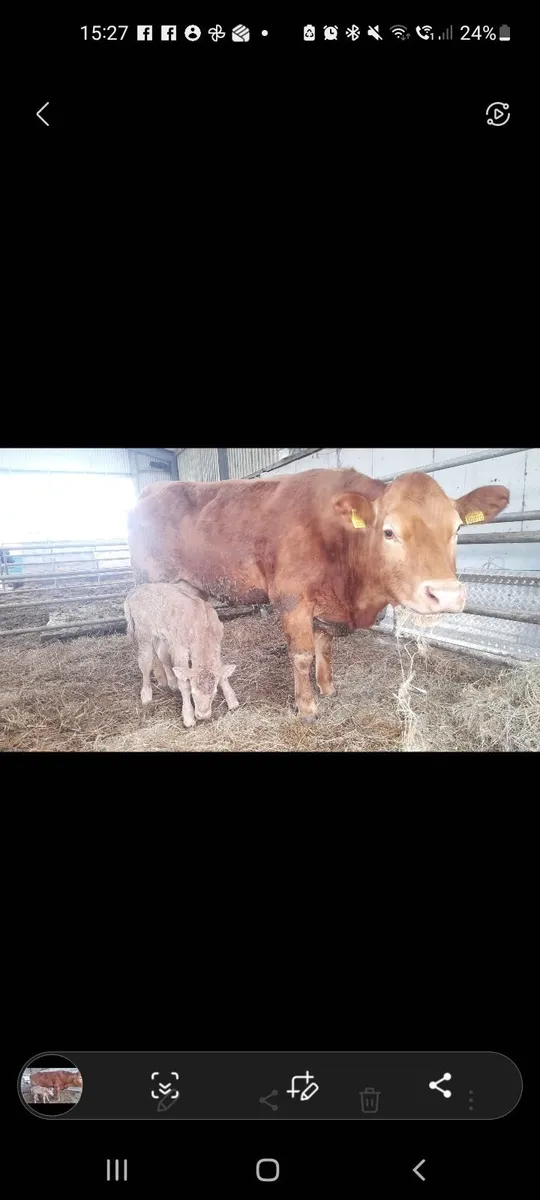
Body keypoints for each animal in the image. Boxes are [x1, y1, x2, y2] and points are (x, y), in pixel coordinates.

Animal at [124, 583, 239, 726]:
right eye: (193, 694)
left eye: (213, 694)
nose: (203, 716)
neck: (203, 627)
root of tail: (135, 590)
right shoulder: (180, 648)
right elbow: (184, 683)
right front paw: (188, 717)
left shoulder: (217, 645)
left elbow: (222, 674)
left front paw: (232, 701)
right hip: (144, 632)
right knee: (145, 662)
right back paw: (146, 694)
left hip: (163, 635)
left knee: (162, 654)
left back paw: (172, 682)